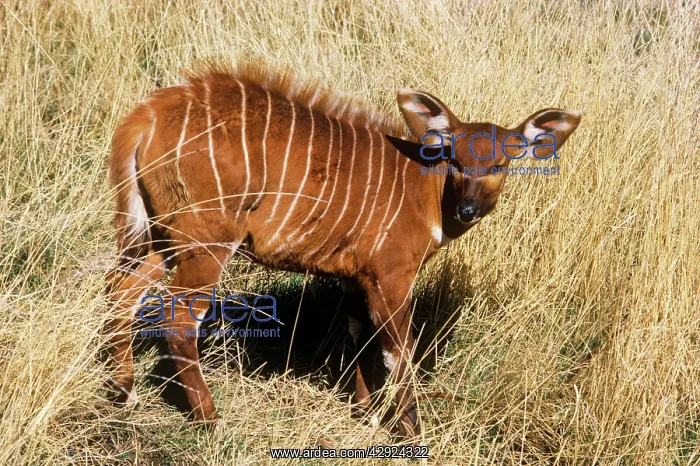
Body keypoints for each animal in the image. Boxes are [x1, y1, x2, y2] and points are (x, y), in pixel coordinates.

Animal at [105, 63, 581, 440]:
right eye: (456, 160)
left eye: (499, 164)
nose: (468, 209)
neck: (424, 189)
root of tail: (144, 118)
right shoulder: (392, 275)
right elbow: (398, 351)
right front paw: (411, 432)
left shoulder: (358, 278)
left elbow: (360, 336)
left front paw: (366, 415)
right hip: (207, 240)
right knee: (178, 318)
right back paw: (211, 420)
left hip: (162, 237)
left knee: (120, 290)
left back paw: (124, 393)